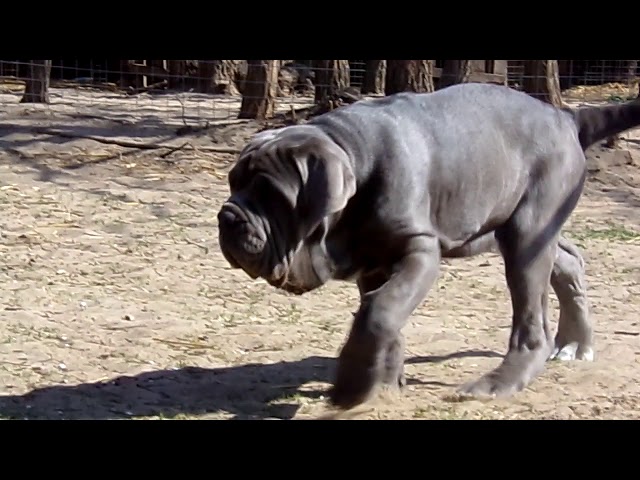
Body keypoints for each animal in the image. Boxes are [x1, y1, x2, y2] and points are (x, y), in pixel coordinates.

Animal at [216, 82, 640, 408]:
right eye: (233, 182)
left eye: (271, 194)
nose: (227, 217)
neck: (354, 154)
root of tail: (566, 117)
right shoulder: (373, 264)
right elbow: (384, 318)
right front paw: (381, 381)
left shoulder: (418, 250)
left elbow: (380, 311)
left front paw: (352, 385)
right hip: (520, 229)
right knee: (568, 260)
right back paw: (575, 344)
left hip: (527, 232)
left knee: (531, 318)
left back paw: (499, 382)